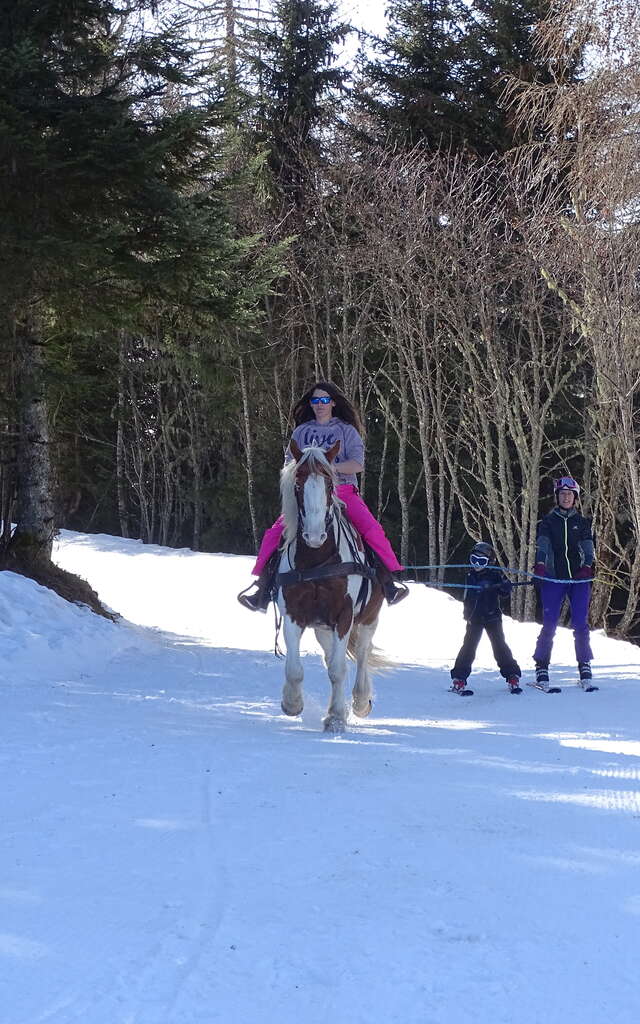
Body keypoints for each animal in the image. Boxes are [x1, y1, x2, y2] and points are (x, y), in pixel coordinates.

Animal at [276, 440, 385, 737]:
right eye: (298, 483)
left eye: (328, 484)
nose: (314, 536)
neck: (317, 559)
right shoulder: (293, 613)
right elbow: (294, 668)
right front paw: (292, 703)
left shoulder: (344, 616)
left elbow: (338, 669)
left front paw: (336, 718)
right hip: (323, 627)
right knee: (332, 655)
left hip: (369, 617)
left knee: (362, 654)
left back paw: (360, 701)